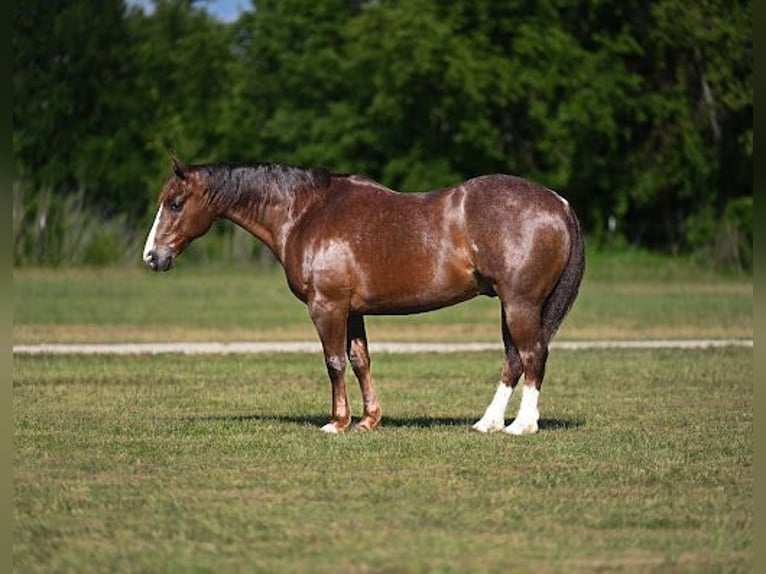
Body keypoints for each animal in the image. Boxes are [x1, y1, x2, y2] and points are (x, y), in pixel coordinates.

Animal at [142, 155, 585, 435]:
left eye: (175, 203)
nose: (152, 256)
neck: (306, 213)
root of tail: (560, 203)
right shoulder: (352, 311)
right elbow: (360, 361)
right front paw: (369, 420)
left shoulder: (327, 307)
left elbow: (334, 362)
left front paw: (337, 422)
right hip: (512, 306)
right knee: (514, 359)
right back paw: (487, 423)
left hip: (520, 304)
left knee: (532, 355)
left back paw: (522, 426)